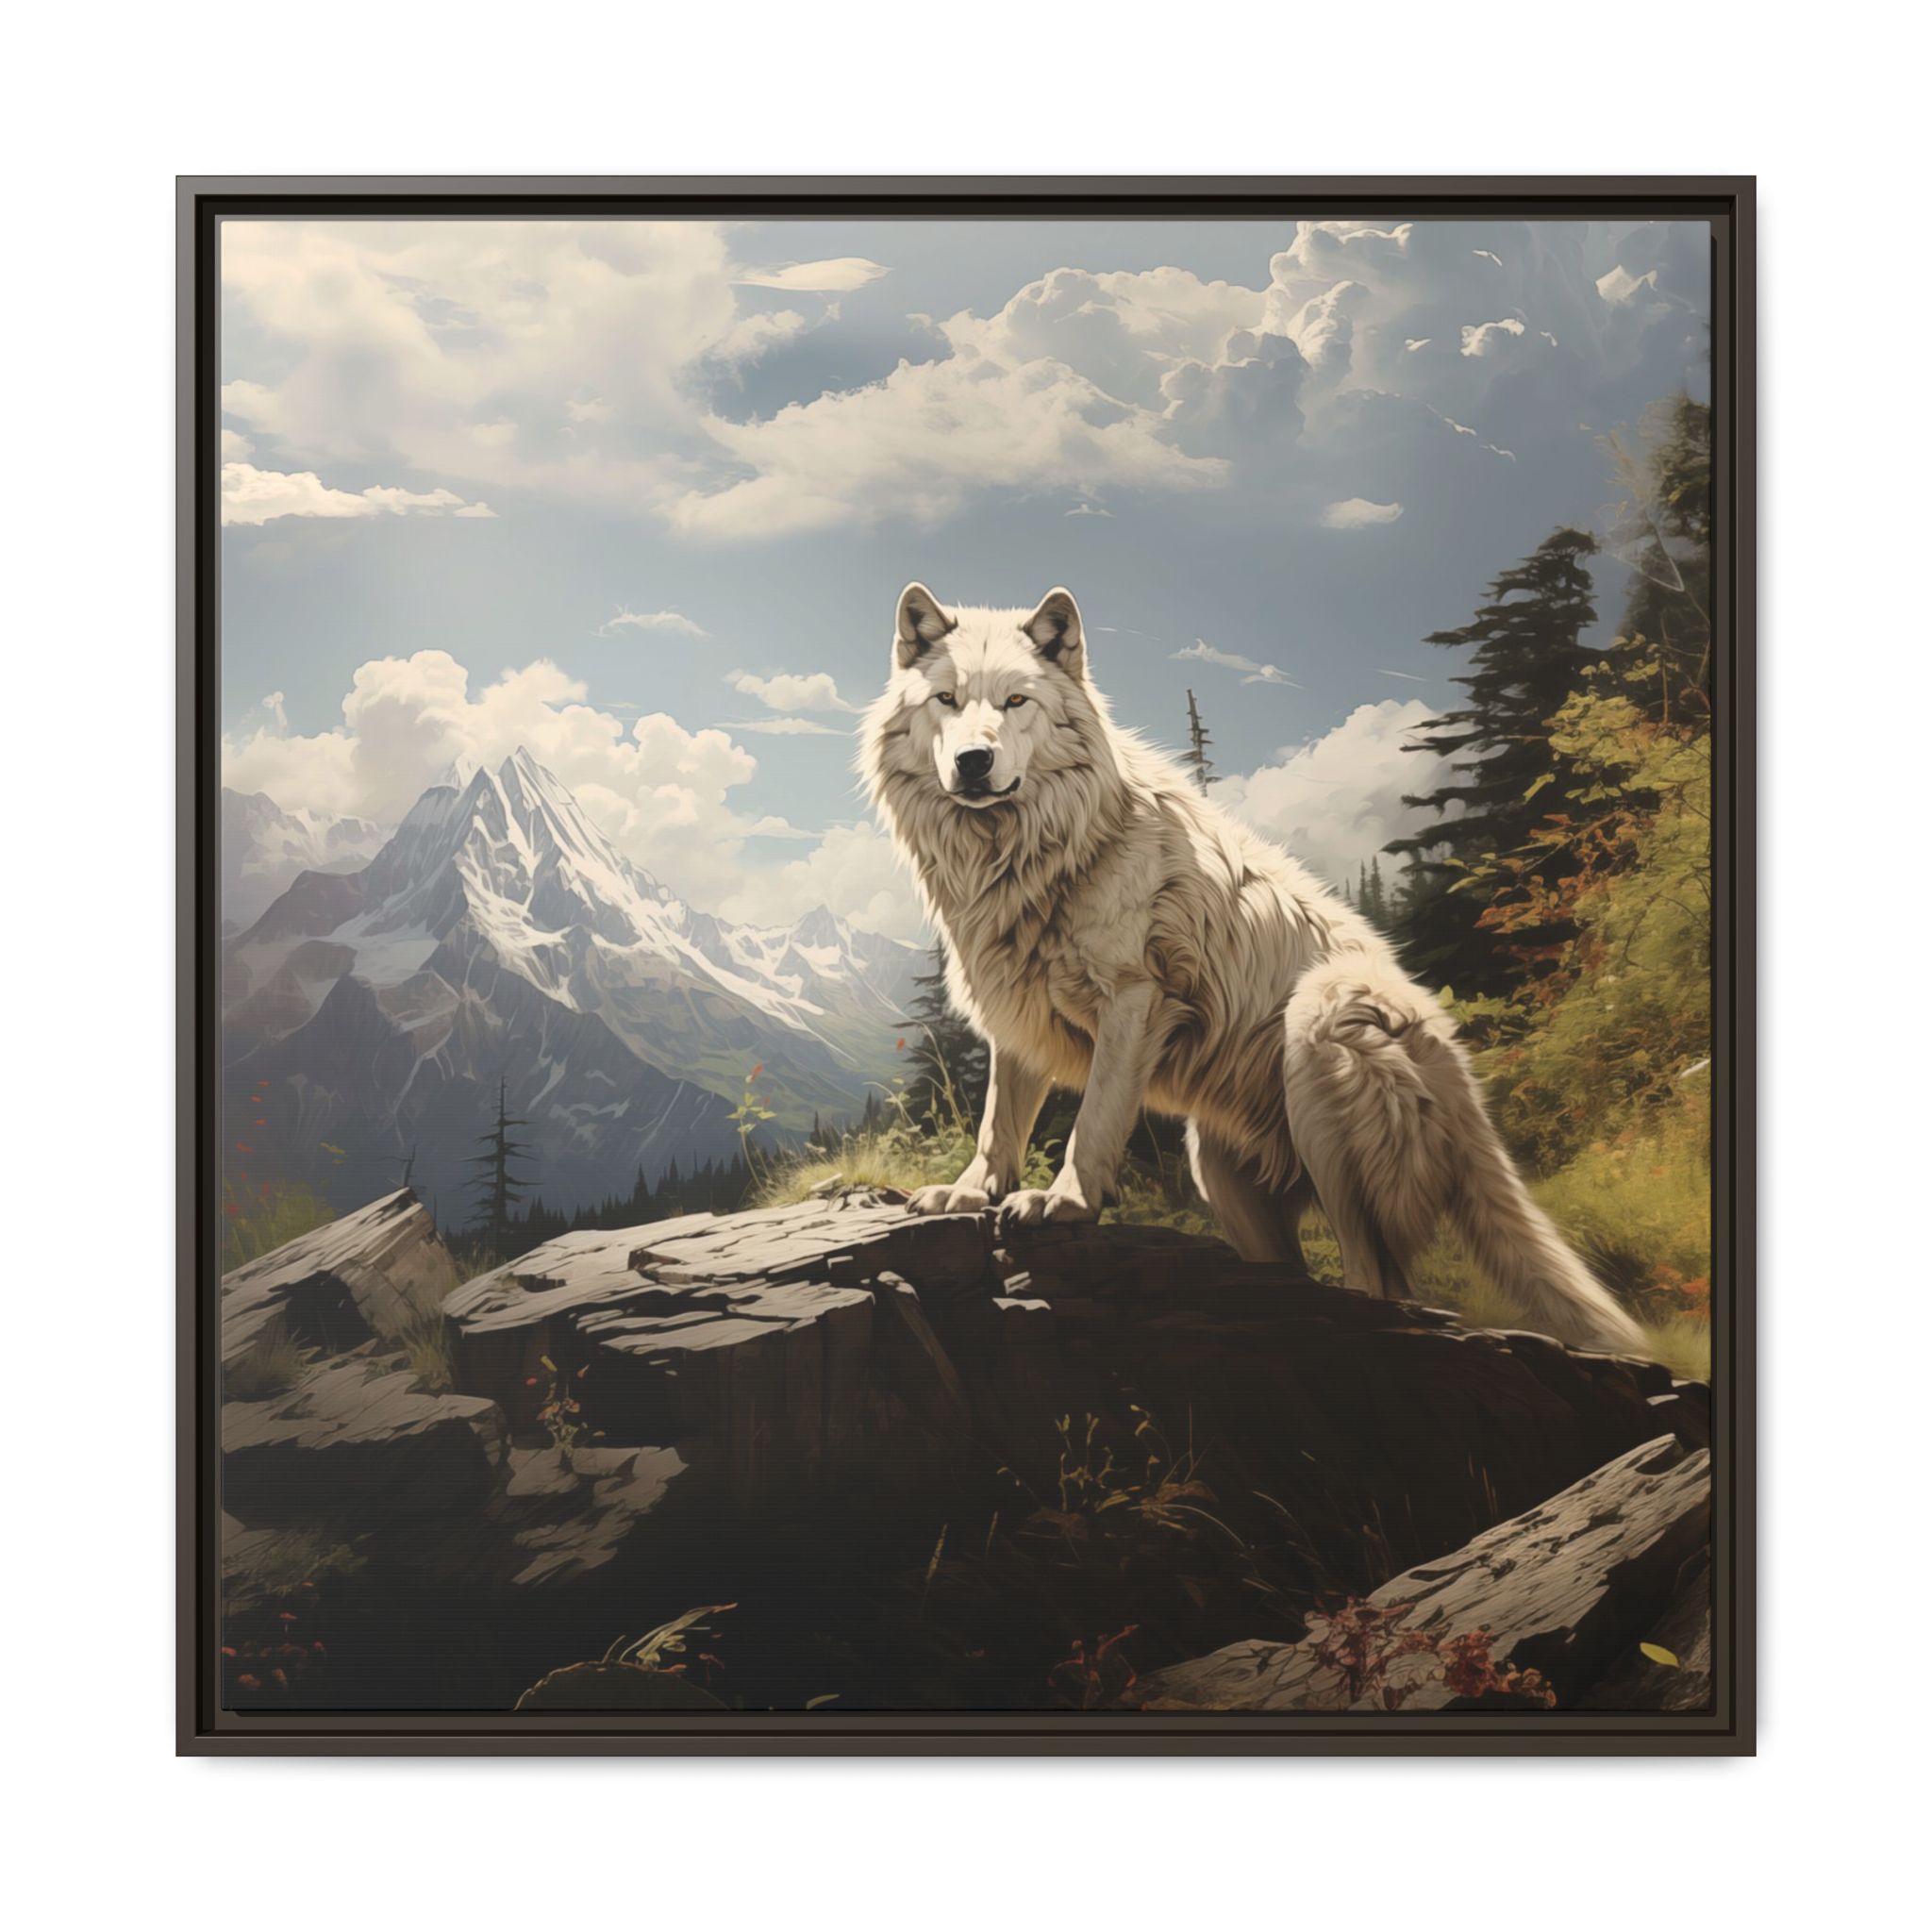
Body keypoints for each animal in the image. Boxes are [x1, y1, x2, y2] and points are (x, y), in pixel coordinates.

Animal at [860, 582, 1646, 1355]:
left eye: (1016, 702)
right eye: (947, 700)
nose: (973, 761)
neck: (1033, 849)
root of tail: (1459, 1072)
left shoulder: (1135, 999)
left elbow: (1095, 1120)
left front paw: (1065, 1203)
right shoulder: (1019, 1011)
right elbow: (999, 1124)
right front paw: (968, 1194)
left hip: (1322, 1050)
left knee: (1383, 1282)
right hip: (1220, 1172)